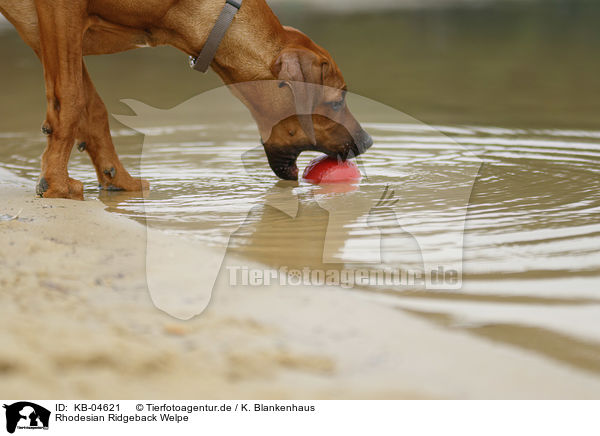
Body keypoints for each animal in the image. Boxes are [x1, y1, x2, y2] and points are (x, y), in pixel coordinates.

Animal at [0, 0, 372, 199]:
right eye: (336, 101)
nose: (367, 141)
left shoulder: (47, 28)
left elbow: (92, 107)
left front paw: (118, 179)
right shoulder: (59, 12)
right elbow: (71, 97)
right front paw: (57, 185)